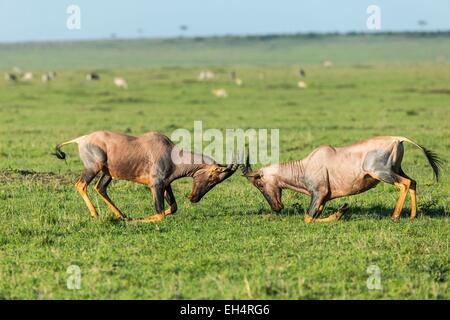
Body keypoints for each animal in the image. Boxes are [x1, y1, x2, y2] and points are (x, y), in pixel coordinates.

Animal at [53, 130, 239, 222]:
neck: (169, 152)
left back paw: (121, 216)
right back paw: (96, 215)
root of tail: (81, 139)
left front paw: (131, 218)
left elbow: (173, 207)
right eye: (213, 178)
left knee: (100, 188)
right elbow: (160, 214)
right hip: (93, 168)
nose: (194, 198)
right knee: (81, 185)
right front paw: (135, 220)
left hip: (108, 173)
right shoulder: (155, 185)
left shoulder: (165, 184)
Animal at [241, 136, 442, 222]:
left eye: (259, 183)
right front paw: (342, 210)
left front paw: (342, 211)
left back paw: (394, 216)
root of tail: (397, 139)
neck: (307, 163)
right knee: (413, 182)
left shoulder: (318, 193)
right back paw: (413, 216)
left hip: (381, 172)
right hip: (396, 169)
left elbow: (308, 218)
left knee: (405, 184)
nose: (277, 207)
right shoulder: (324, 198)